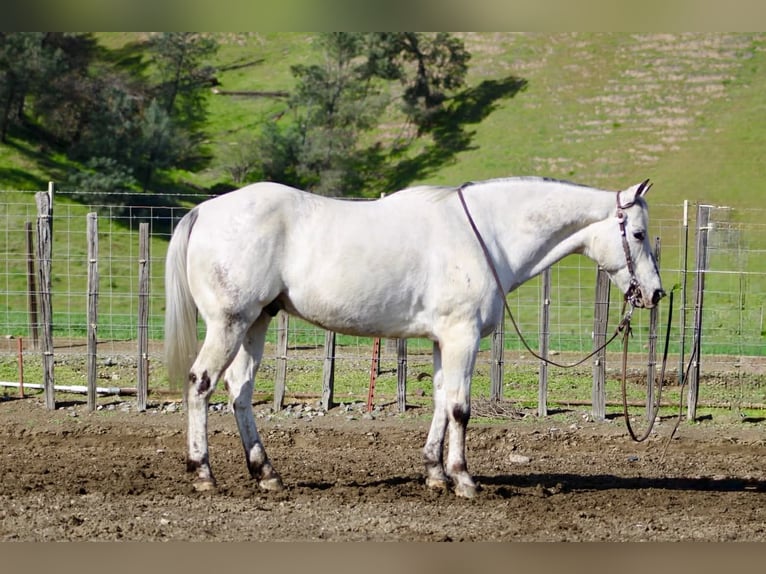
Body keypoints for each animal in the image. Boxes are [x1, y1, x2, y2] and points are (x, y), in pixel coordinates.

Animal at [164, 176, 664, 498]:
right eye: (638, 233)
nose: (655, 293)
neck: (485, 236)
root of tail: (204, 211)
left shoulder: (444, 340)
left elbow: (442, 401)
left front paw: (435, 475)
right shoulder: (463, 336)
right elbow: (460, 408)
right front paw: (463, 480)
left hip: (256, 323)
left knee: (241, 392)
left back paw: (266, 474)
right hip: (229, 323)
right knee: (200, 384)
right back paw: (203, 474)